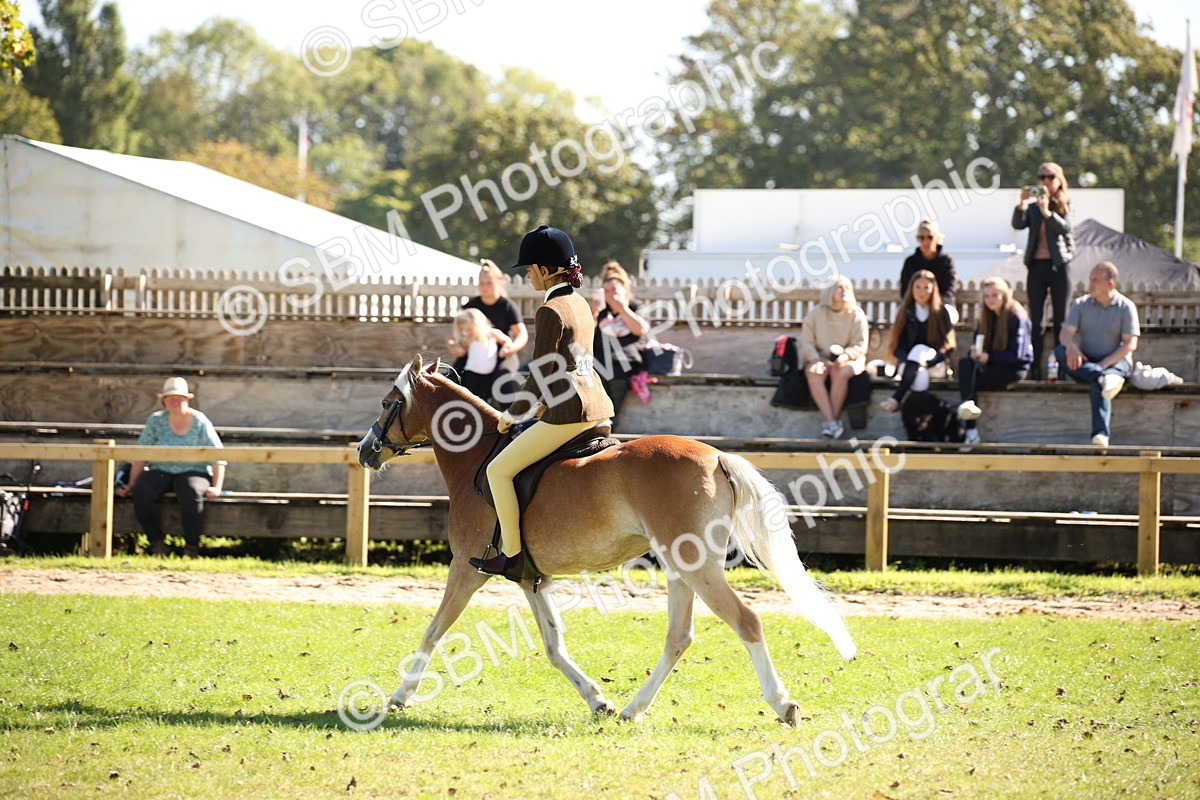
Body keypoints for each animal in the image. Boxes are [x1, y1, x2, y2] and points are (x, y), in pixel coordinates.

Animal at [357, 354, 856, 725]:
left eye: (387, 401)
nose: (364, 451)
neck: (476, 457)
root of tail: (715, 456)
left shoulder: (465, 568)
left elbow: (434, 630)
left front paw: (400, 695)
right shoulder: (531, 579)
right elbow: (554, 646)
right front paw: (598, 699)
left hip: (696, 567)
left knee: (746, 621)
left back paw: (782, 704)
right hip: (681, 568)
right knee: (679, 637)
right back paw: (634, 709)